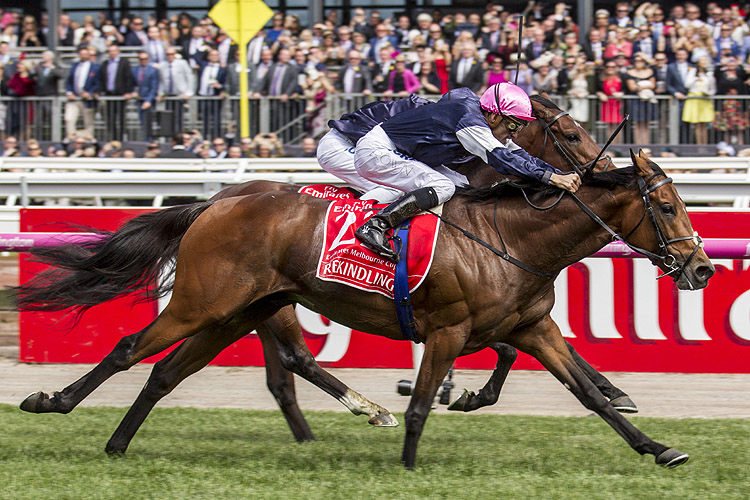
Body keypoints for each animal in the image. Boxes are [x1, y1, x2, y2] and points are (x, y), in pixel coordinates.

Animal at [14, 149, 712, 468]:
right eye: (668, 206)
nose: (703, 267)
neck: (512, 238)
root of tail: (214, 202)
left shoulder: (533, 328)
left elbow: (591, 396)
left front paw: (659, 447)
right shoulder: (447, 331)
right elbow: (423, 402)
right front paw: (407, 463)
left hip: (238, 312)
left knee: (166, 372)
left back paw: (117, 443)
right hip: (200, 301)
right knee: (131, 348)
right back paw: (51, 401)